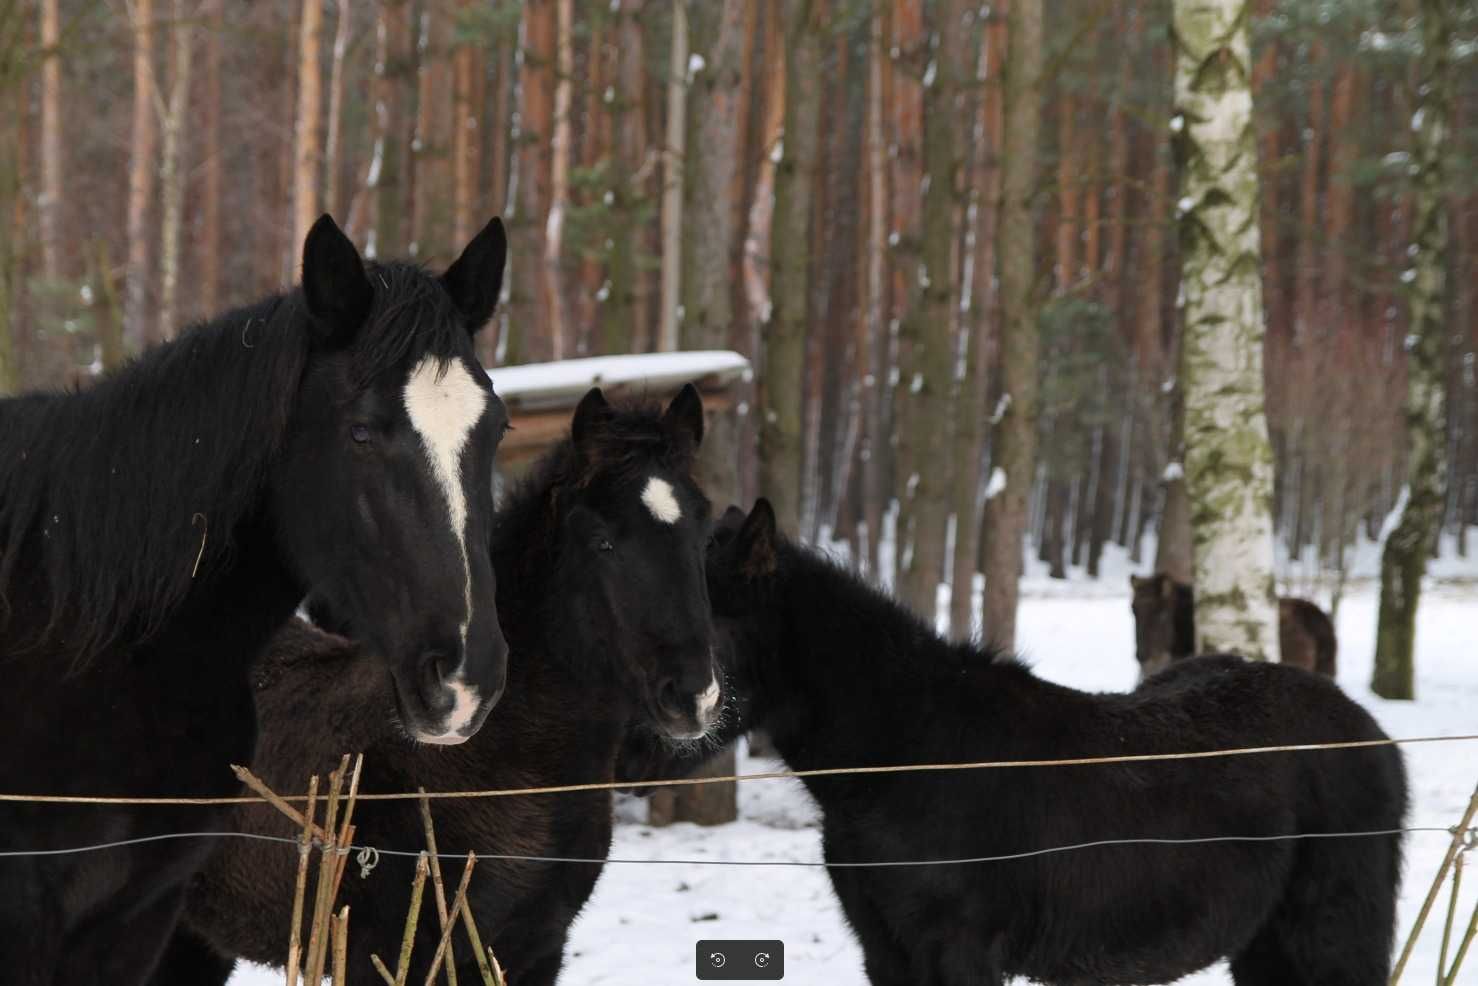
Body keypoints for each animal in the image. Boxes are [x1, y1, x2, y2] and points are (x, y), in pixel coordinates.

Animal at [676, 505, 1401, 981]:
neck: (900, 754)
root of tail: (1372, 731)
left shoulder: (957, 950)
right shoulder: (885, 952)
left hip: (1333, 941)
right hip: (1264, 947)